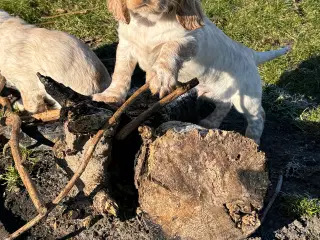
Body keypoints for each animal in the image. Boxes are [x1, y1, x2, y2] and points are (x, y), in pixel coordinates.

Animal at [93, 0, 292, 144]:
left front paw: (161, 78)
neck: (150, 21)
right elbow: (121, 72)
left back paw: (253, 140)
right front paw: (110, 96)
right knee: (224, 105)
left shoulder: (189, 40)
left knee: (258, 116)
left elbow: (169, 49)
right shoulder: (126, 45)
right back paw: (210, 122)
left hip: (247, 97)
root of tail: (250, 53)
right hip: (213, 90)